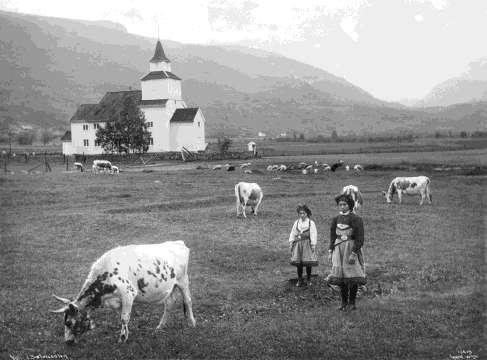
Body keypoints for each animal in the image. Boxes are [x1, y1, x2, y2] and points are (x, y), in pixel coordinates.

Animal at [49, 240, 194, 344]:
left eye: (68, 322)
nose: (67, 341)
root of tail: (178, 243)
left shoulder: (128, 294)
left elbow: (124, 318)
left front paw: (122, 338)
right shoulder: (116, 301)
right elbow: (122, 317)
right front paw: (126, 334)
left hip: (183, 280)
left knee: (188, 301)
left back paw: (192, 323)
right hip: (170, 287)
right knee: (169, 304)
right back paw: (160, 326)